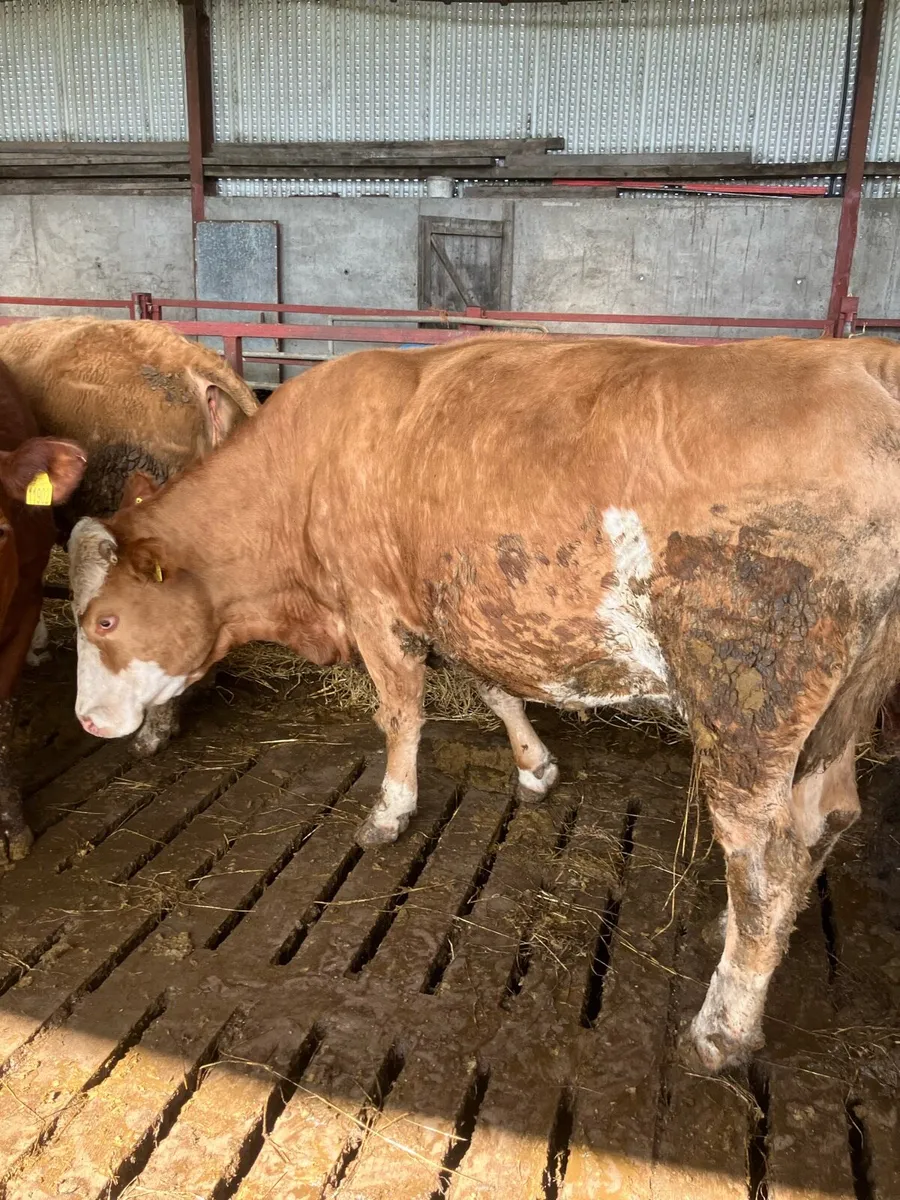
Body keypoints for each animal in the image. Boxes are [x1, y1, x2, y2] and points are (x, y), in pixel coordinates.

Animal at [67, 333, 900, 1072]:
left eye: (104, 620)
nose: (84, 720)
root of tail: (865, 361)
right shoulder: (462, 611)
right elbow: (494, 689)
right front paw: (534, 768)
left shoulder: (374, 607)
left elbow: (401, 713)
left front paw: (390, 811)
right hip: (843, 705)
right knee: (825, 817)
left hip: (747, 703)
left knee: (765, 855)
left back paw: (724, 1024)